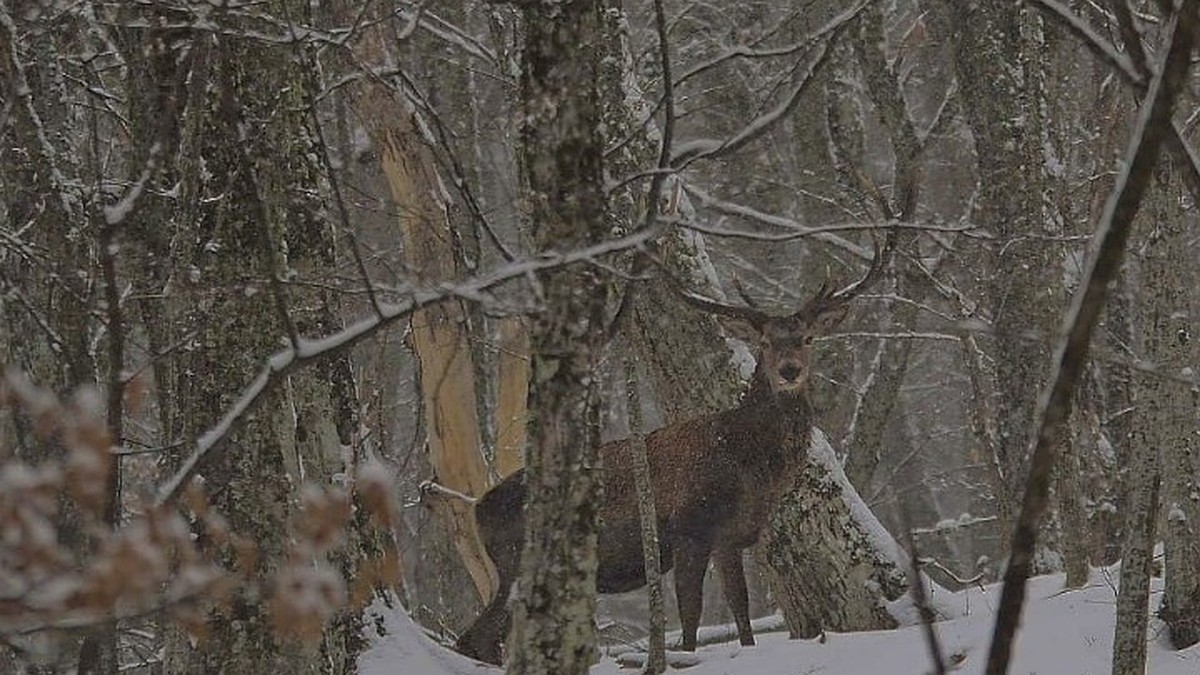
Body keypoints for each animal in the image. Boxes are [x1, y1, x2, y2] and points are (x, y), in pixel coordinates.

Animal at [453, 241, 888, 662]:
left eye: (808, 338)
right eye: (764, 342)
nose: (790, 370)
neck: (748, 466)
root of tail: (477, 509)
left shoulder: (729, 538)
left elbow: (741, 608)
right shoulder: (689, 528)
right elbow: (691, 615)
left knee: (483, 638)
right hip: (515, 560)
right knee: (475, 638)